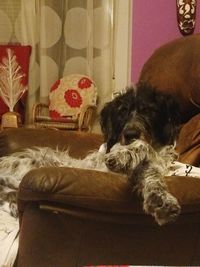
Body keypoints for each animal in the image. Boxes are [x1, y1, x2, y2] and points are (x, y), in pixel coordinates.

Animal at [0, 83, 181, 226]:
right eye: (122, 112)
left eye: (149, 111)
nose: (130, 134)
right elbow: (144, 147)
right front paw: (123, 156)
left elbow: (151, 171)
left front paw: (160, 198)